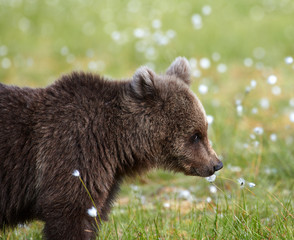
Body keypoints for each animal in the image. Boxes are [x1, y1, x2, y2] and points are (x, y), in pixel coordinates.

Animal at [0, 57, 223, 239]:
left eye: (205, 129)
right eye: (196, 135)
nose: (216, 164)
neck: (115, 143)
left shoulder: (107, 176)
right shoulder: (72, 150)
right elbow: (70, 211)